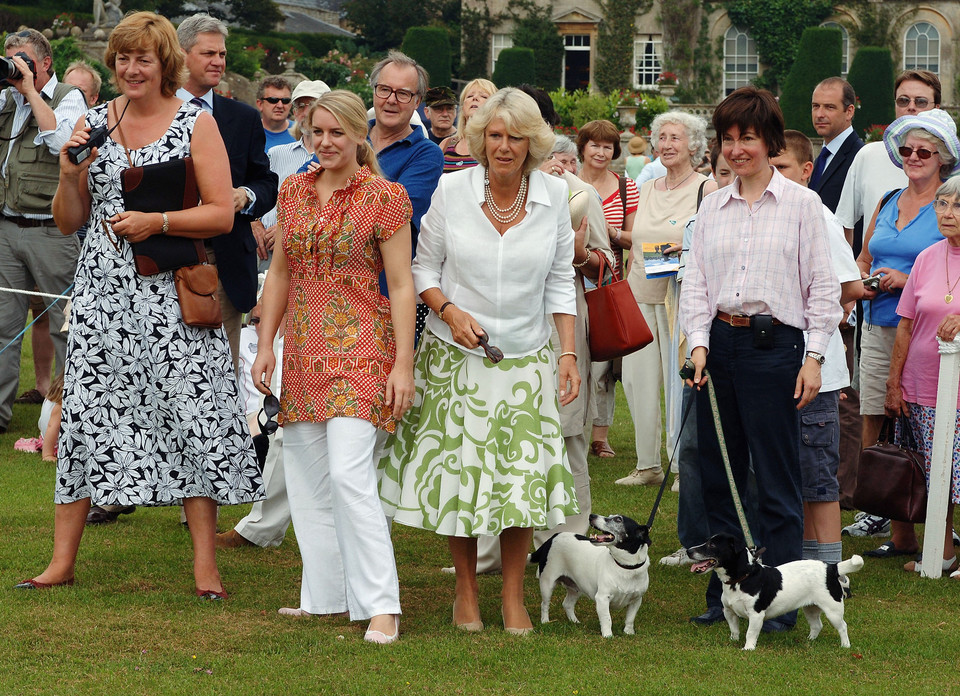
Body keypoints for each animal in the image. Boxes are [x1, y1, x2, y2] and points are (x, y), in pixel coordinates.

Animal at [524, 512, 652, 640]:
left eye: (618, 519)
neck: (625, 566)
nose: (592, 516)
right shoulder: (602, 598)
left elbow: (630, 618)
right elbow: (607, 619)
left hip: (576, 587)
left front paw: (628, 632)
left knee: (567, 604)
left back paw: (574, 621)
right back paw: (545, 621)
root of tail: (553, 537)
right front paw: (608, 635)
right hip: (547, 583)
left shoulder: (636, 600)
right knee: (545, 604)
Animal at [688, 532, 868, 652]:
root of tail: (831, 568)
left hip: (833, 610)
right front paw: (733, 641)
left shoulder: (756, 615)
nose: (689, 551)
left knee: (842, 627)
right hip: (810, 608)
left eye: (712, 545)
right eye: (706, 541)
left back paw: (845, 646)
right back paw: (809, 641)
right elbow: (734, 629)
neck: (742, 578)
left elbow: (750, 633)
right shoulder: (728, 611)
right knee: (817, 625)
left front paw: (748, 648)